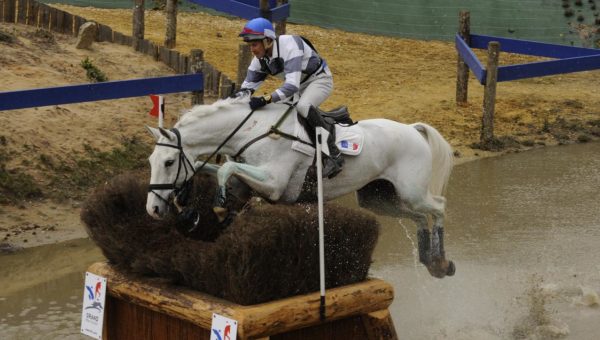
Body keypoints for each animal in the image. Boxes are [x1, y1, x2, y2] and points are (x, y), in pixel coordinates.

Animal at [146, 94, 454, 278]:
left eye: (169, 162)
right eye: (151, 161)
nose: (152, 209)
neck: (252, 132)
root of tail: (412, 129)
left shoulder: (273, 184)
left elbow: (225, 167)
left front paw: (220, 209)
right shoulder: (245, 184)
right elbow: (216, 168)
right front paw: (192, 205)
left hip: (412, 192)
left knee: (438, 207)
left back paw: (441, 261)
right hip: (377, 199)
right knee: (418, 217)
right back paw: (429, 259)